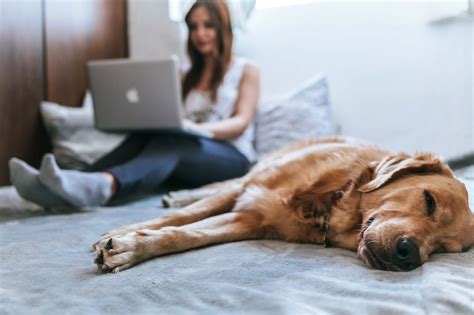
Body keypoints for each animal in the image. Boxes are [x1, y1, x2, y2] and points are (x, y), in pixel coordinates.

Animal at [92, 137, 474, 272]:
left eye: (444, 248)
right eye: (428, 200)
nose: (409, 254)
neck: (328, 199)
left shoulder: (246, 220)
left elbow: (185, 234)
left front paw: (131, 248)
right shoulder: (246, 191)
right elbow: (186, 216)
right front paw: (124, 233)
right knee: (214, 187)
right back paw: (178, 193)